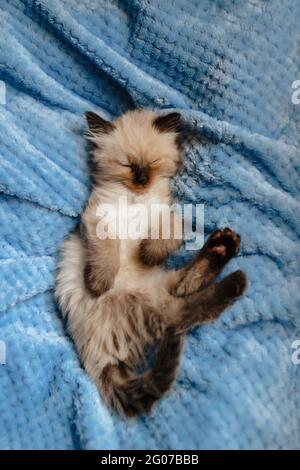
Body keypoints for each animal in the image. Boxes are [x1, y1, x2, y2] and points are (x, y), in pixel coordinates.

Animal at [55, 110, 247, 418]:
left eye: (153, 163)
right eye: (127, 165)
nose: (142, 178)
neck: (137, 198)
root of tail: (99, 363)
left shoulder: (171, 218)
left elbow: (164, 237)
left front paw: (147, 254)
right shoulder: (97, 221)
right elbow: (106, 255)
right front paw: (98, 283)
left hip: (160, 288)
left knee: (185, 296)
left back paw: (225, 246)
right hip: (149, 303)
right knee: (182, 313)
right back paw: (234, 271)